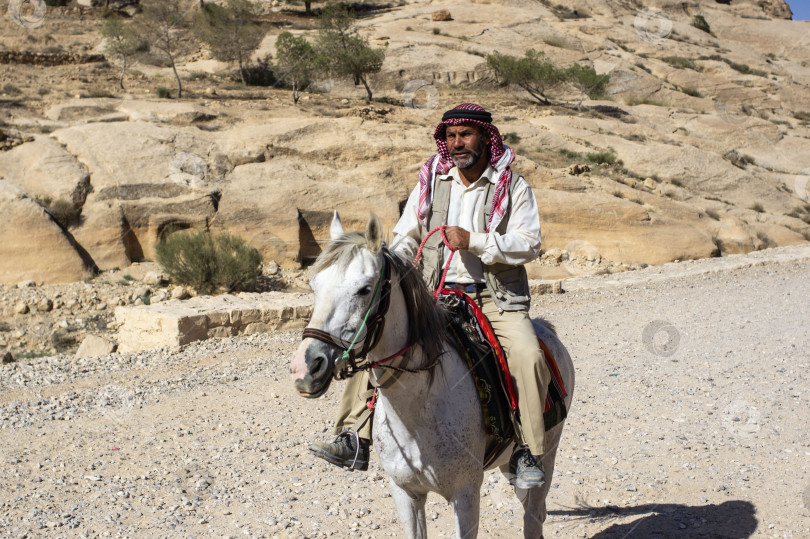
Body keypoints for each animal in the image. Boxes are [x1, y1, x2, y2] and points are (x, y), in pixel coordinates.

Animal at [288, 215, 568, 539]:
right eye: (314, 285)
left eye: (364, 289)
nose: (305, 367)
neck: (417, 411)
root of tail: (546, 330)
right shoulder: (405, 493)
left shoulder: (466, 495)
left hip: (548, 454)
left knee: (533, 516)